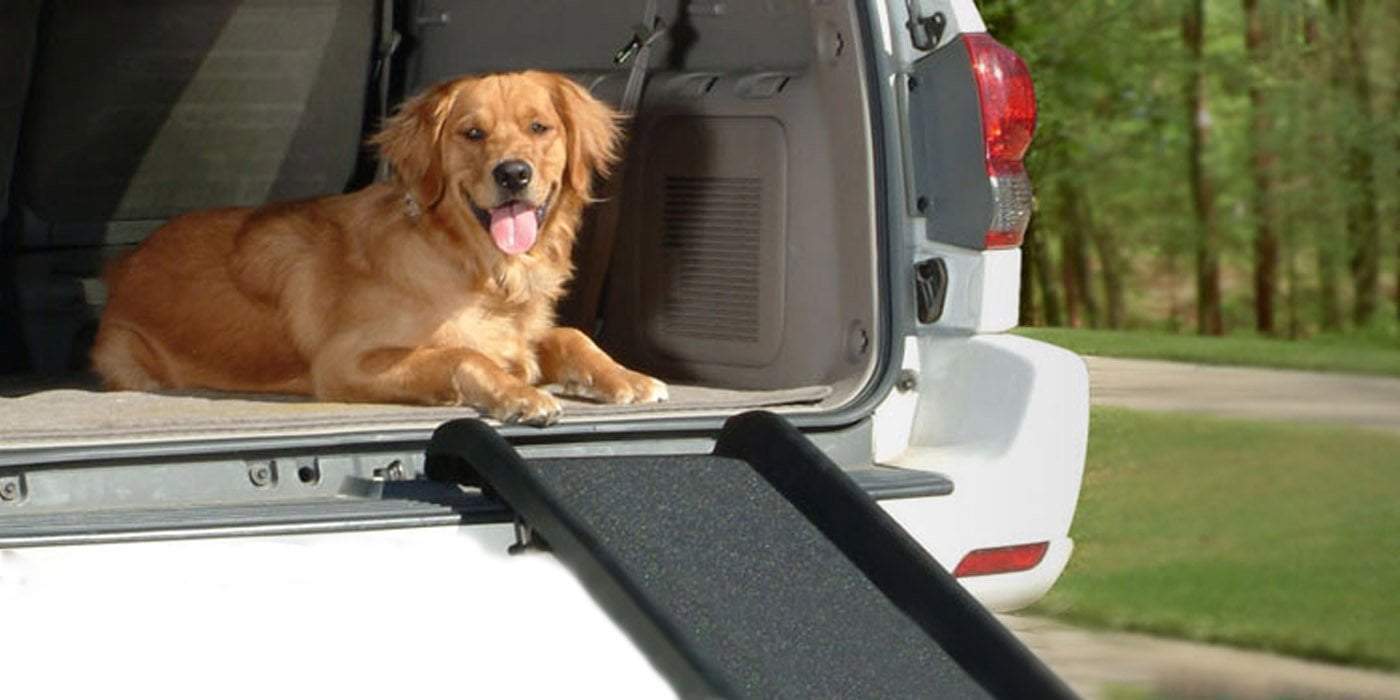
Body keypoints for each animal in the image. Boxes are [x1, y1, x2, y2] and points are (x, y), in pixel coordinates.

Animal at [91, 71, 666, 422]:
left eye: (539, 127)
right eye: (472, 133)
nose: (513, 174)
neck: (477, 269)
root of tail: (125, 261)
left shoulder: (520, 335)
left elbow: (570, 335)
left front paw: (625, 376)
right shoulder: (344, 362)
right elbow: (462, 353)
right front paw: (520, 395)